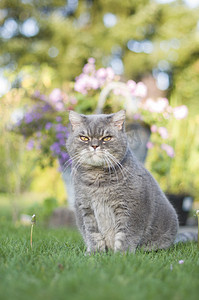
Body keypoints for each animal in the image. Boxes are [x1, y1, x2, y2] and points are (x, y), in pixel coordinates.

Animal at [67, 110, 197, 253]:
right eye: (84, 138)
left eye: (107, 138)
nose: (94, 146)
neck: (97, 179)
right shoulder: (85, 208)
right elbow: (92, 234)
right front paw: (94, 253)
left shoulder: (130, 208)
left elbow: (126, 234)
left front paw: (121, 254)